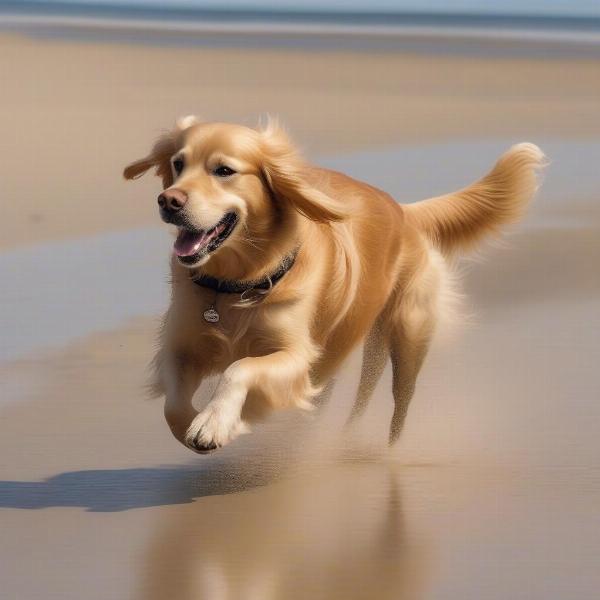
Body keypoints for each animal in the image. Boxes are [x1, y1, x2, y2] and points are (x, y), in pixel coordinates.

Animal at [123, 117, 544, 452]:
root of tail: (405, 212)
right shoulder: (180, 346)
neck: (236, 284)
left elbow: (240, 368)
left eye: (224, 170)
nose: (168, 200)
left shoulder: (296, 356)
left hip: (404, 338)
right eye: (178, 164)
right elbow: (174, 404)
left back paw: (385, 452)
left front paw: (217, 422)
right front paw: (206, 422)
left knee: (394, 402)